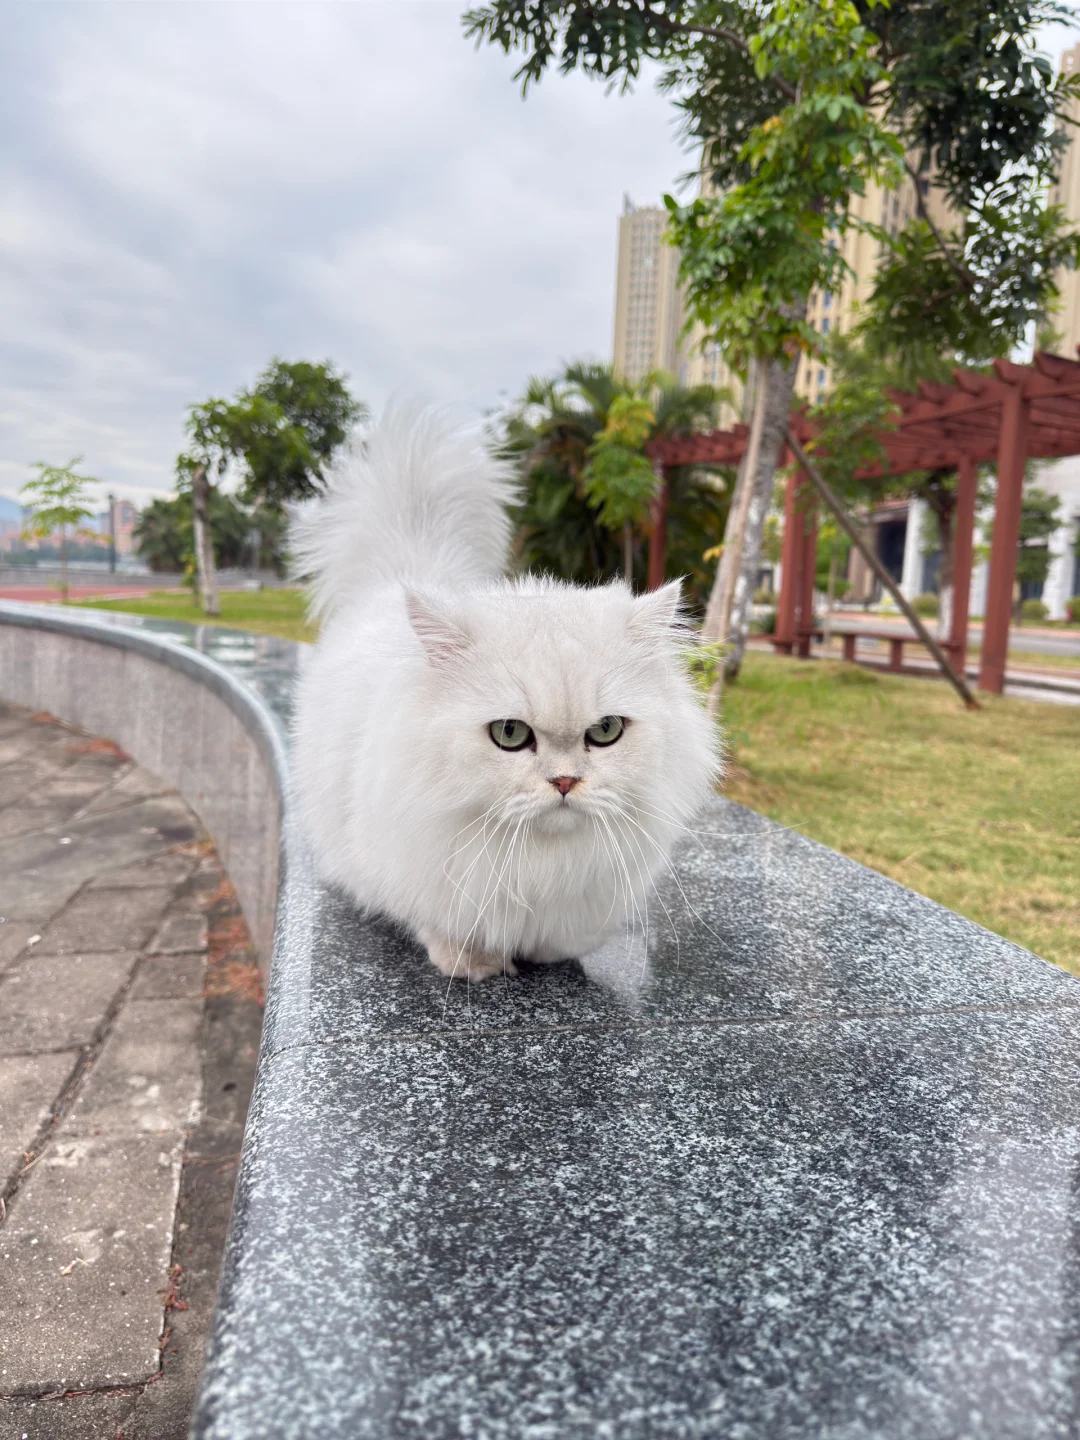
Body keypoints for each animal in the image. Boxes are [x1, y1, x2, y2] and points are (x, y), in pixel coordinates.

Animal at [292, 406, 722, 990]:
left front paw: (547, 956)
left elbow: (564, 939)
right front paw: (475, 966)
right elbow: (448, 928)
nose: (564, 783)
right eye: (510, 735)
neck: (540, 866)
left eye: (606, 731)